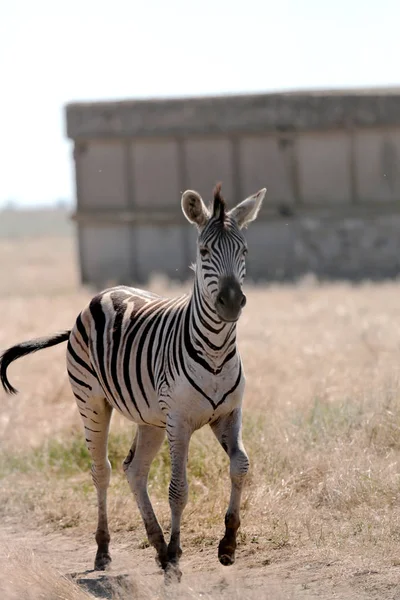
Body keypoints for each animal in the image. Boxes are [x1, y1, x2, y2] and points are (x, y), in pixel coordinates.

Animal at [1, 183, 268, 580]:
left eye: (245, 251)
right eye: (204, 251)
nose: (232, 302)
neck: (217, 350)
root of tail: (105, 293)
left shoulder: (228, 414)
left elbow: (240, 466)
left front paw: (227, 545)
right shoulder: (179, 422)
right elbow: (178, 489)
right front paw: (177, 556)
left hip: (150, 419)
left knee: (134, 470)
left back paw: (157, 546)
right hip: (92, 403)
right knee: (103, 471)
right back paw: (104, 551)